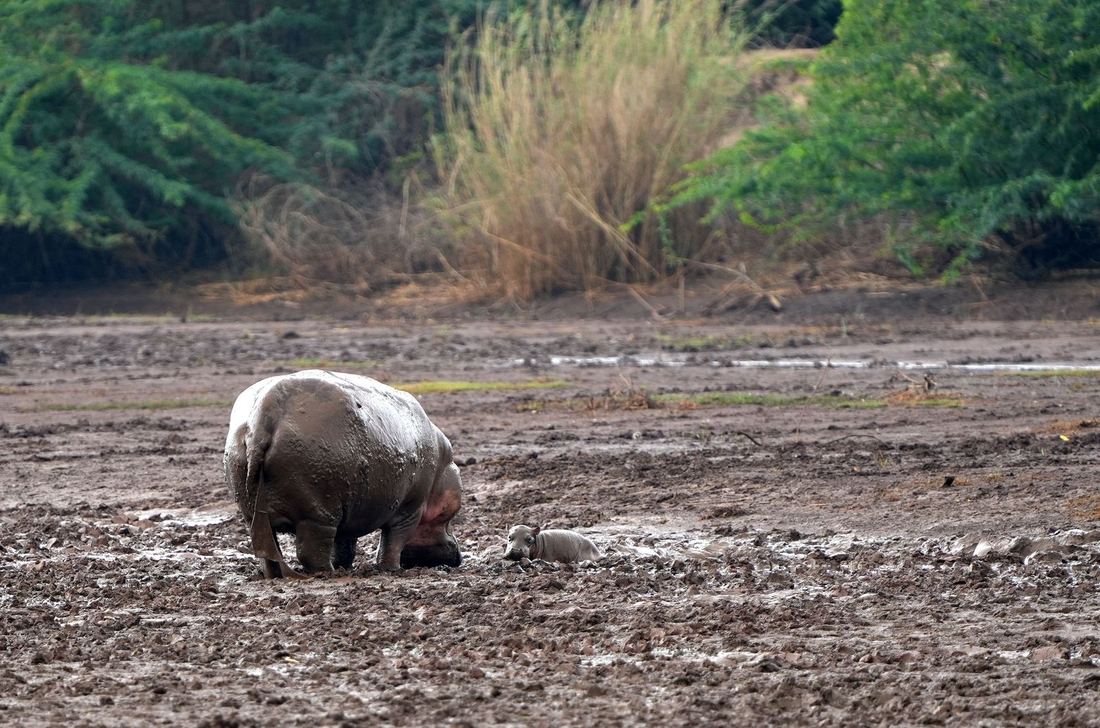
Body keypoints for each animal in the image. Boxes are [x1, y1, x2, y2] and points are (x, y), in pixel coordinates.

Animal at [223, 370, 462, 578]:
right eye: (451, 513)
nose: (459, 557)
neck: (442, 464)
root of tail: (262, 418)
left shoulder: (351, 511)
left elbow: (345, 543)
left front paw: (345, 566)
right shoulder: (409, 508)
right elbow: (393, 541)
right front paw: (392, 570)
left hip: (255, 509)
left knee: (267, 549)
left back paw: (277, 575)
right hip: (318, 512)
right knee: (310, 550)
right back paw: (327, 573)